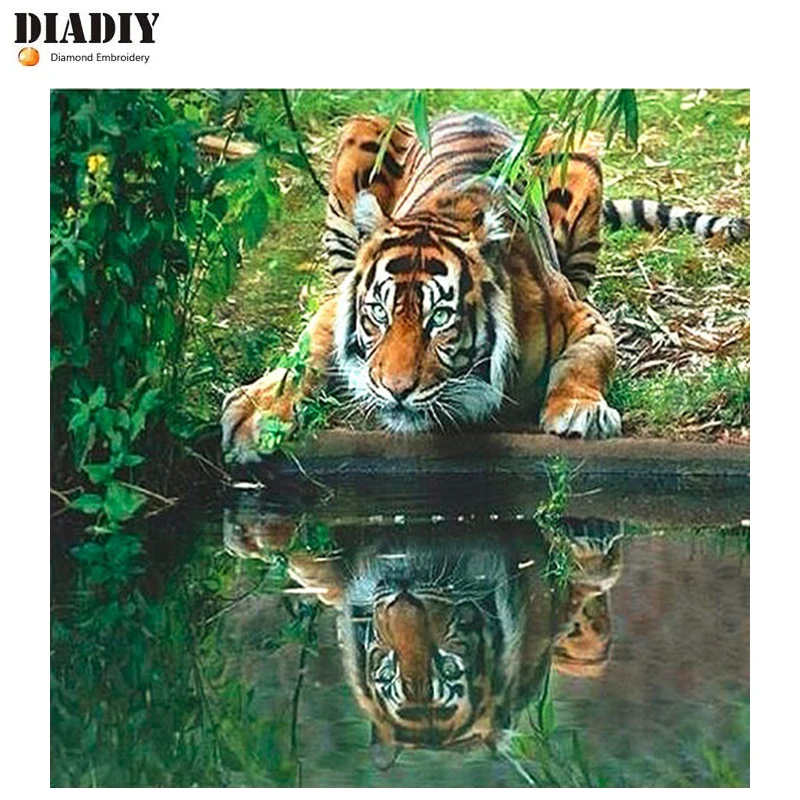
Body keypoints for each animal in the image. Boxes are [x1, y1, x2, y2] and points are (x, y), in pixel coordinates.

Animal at [221, 112, 749, 462]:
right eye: (377, 314)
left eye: (440, 318)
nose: (394, 391)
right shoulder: (339, 304)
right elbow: (304, 354)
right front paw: (255, 413)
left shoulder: (584, 319)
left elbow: (586, 358)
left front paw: (580, 411)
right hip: (360, 132)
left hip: (576, 151)